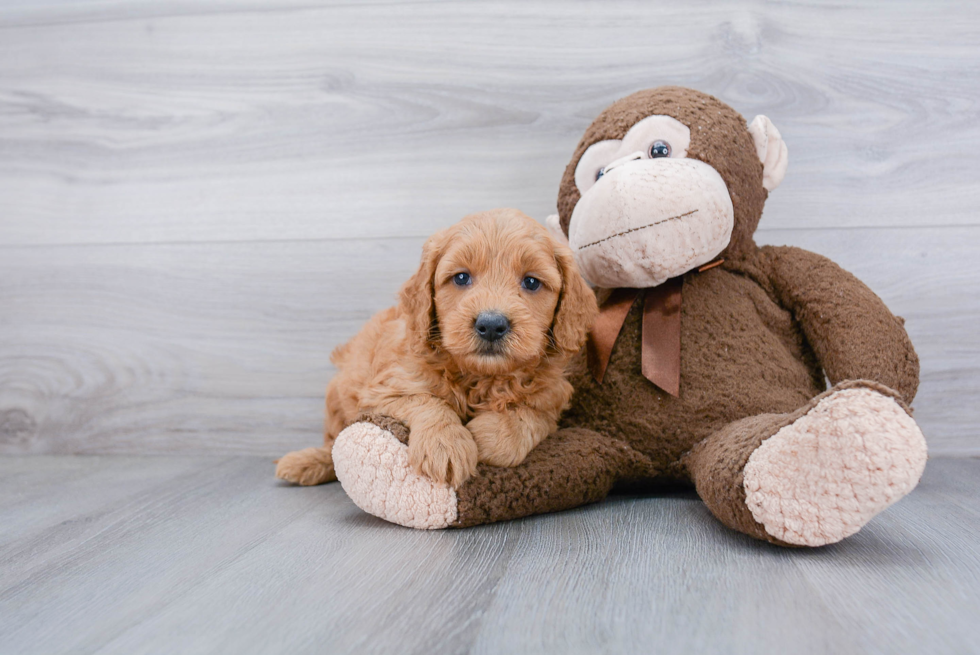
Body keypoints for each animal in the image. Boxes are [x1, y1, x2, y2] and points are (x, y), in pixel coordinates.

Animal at [276, 208, 596, 490]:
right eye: (461, 277)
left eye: (531, 282)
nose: (491, 324)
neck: (481, 378)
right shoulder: (386, 387)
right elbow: (426, 401)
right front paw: (446, 445)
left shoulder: (551, 400)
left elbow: (527, 415)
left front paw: (486, 437)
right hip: (336, 396)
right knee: (333, 442)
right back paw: (305, 463)